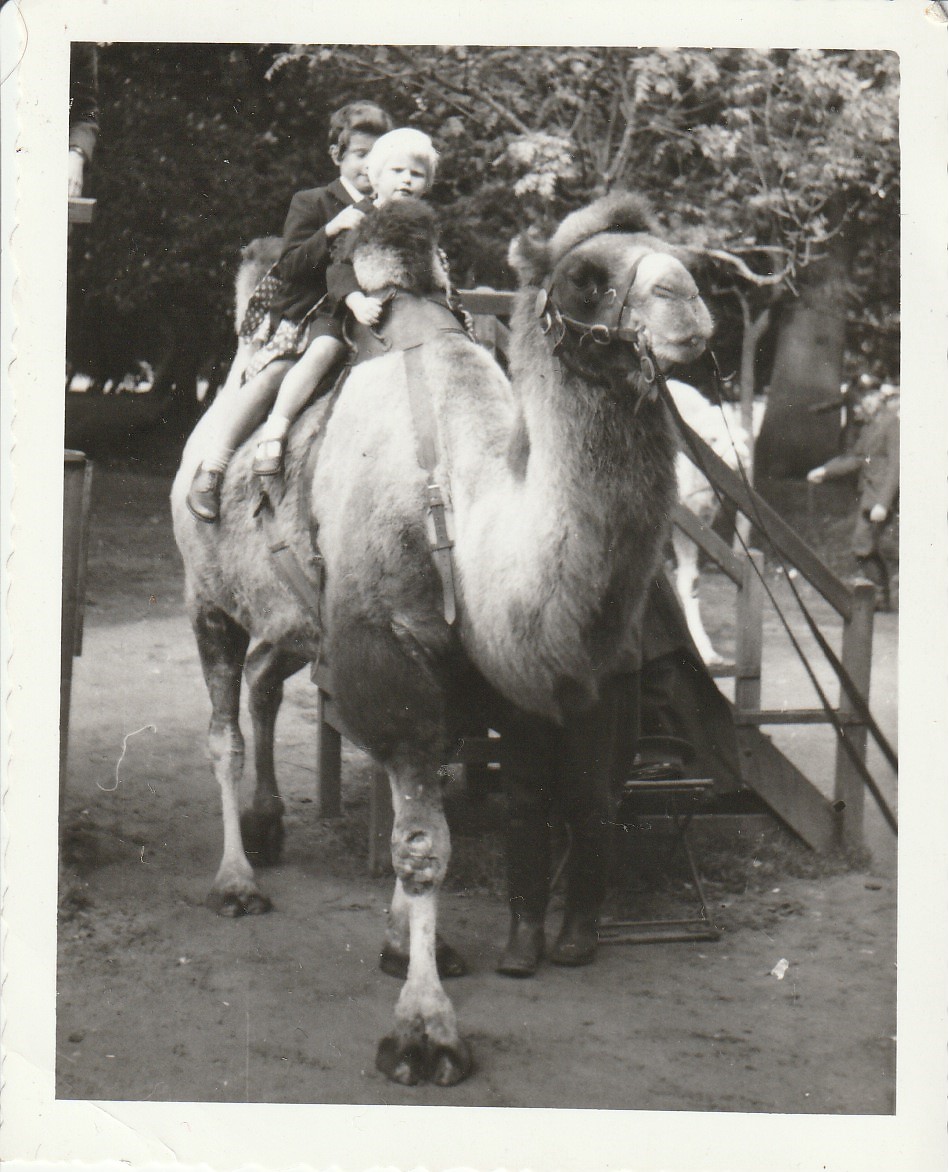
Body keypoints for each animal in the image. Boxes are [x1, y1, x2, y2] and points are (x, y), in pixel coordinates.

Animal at [171, 193, 714, 1086]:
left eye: (679, 255)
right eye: (586, 277)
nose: (689, 305)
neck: (459, 508)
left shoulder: (458, 678)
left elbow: (419, 818)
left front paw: (408, 951)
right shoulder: (391, 664)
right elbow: (423, 844)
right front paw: (425, 1034)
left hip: (294, 624)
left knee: (262, 684)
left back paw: (269, 827)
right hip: (206, 595)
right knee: (222, 728)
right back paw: (236, 881)